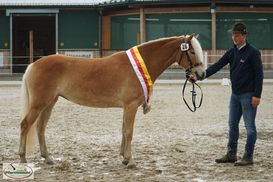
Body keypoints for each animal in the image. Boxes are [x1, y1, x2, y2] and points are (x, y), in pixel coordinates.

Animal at [18, 33, 204, 168]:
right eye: (192, 52)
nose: (201, 74)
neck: (138, 67)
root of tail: (33, 65)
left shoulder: (127, 108)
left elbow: (123, 130)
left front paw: (124, 158)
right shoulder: (131, 106)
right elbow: (129, 132)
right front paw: (131, 161)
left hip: (49, 103)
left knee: (40, 127)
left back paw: (48, 158)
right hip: (39, 104)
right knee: (26, 125)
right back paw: (22, 159)